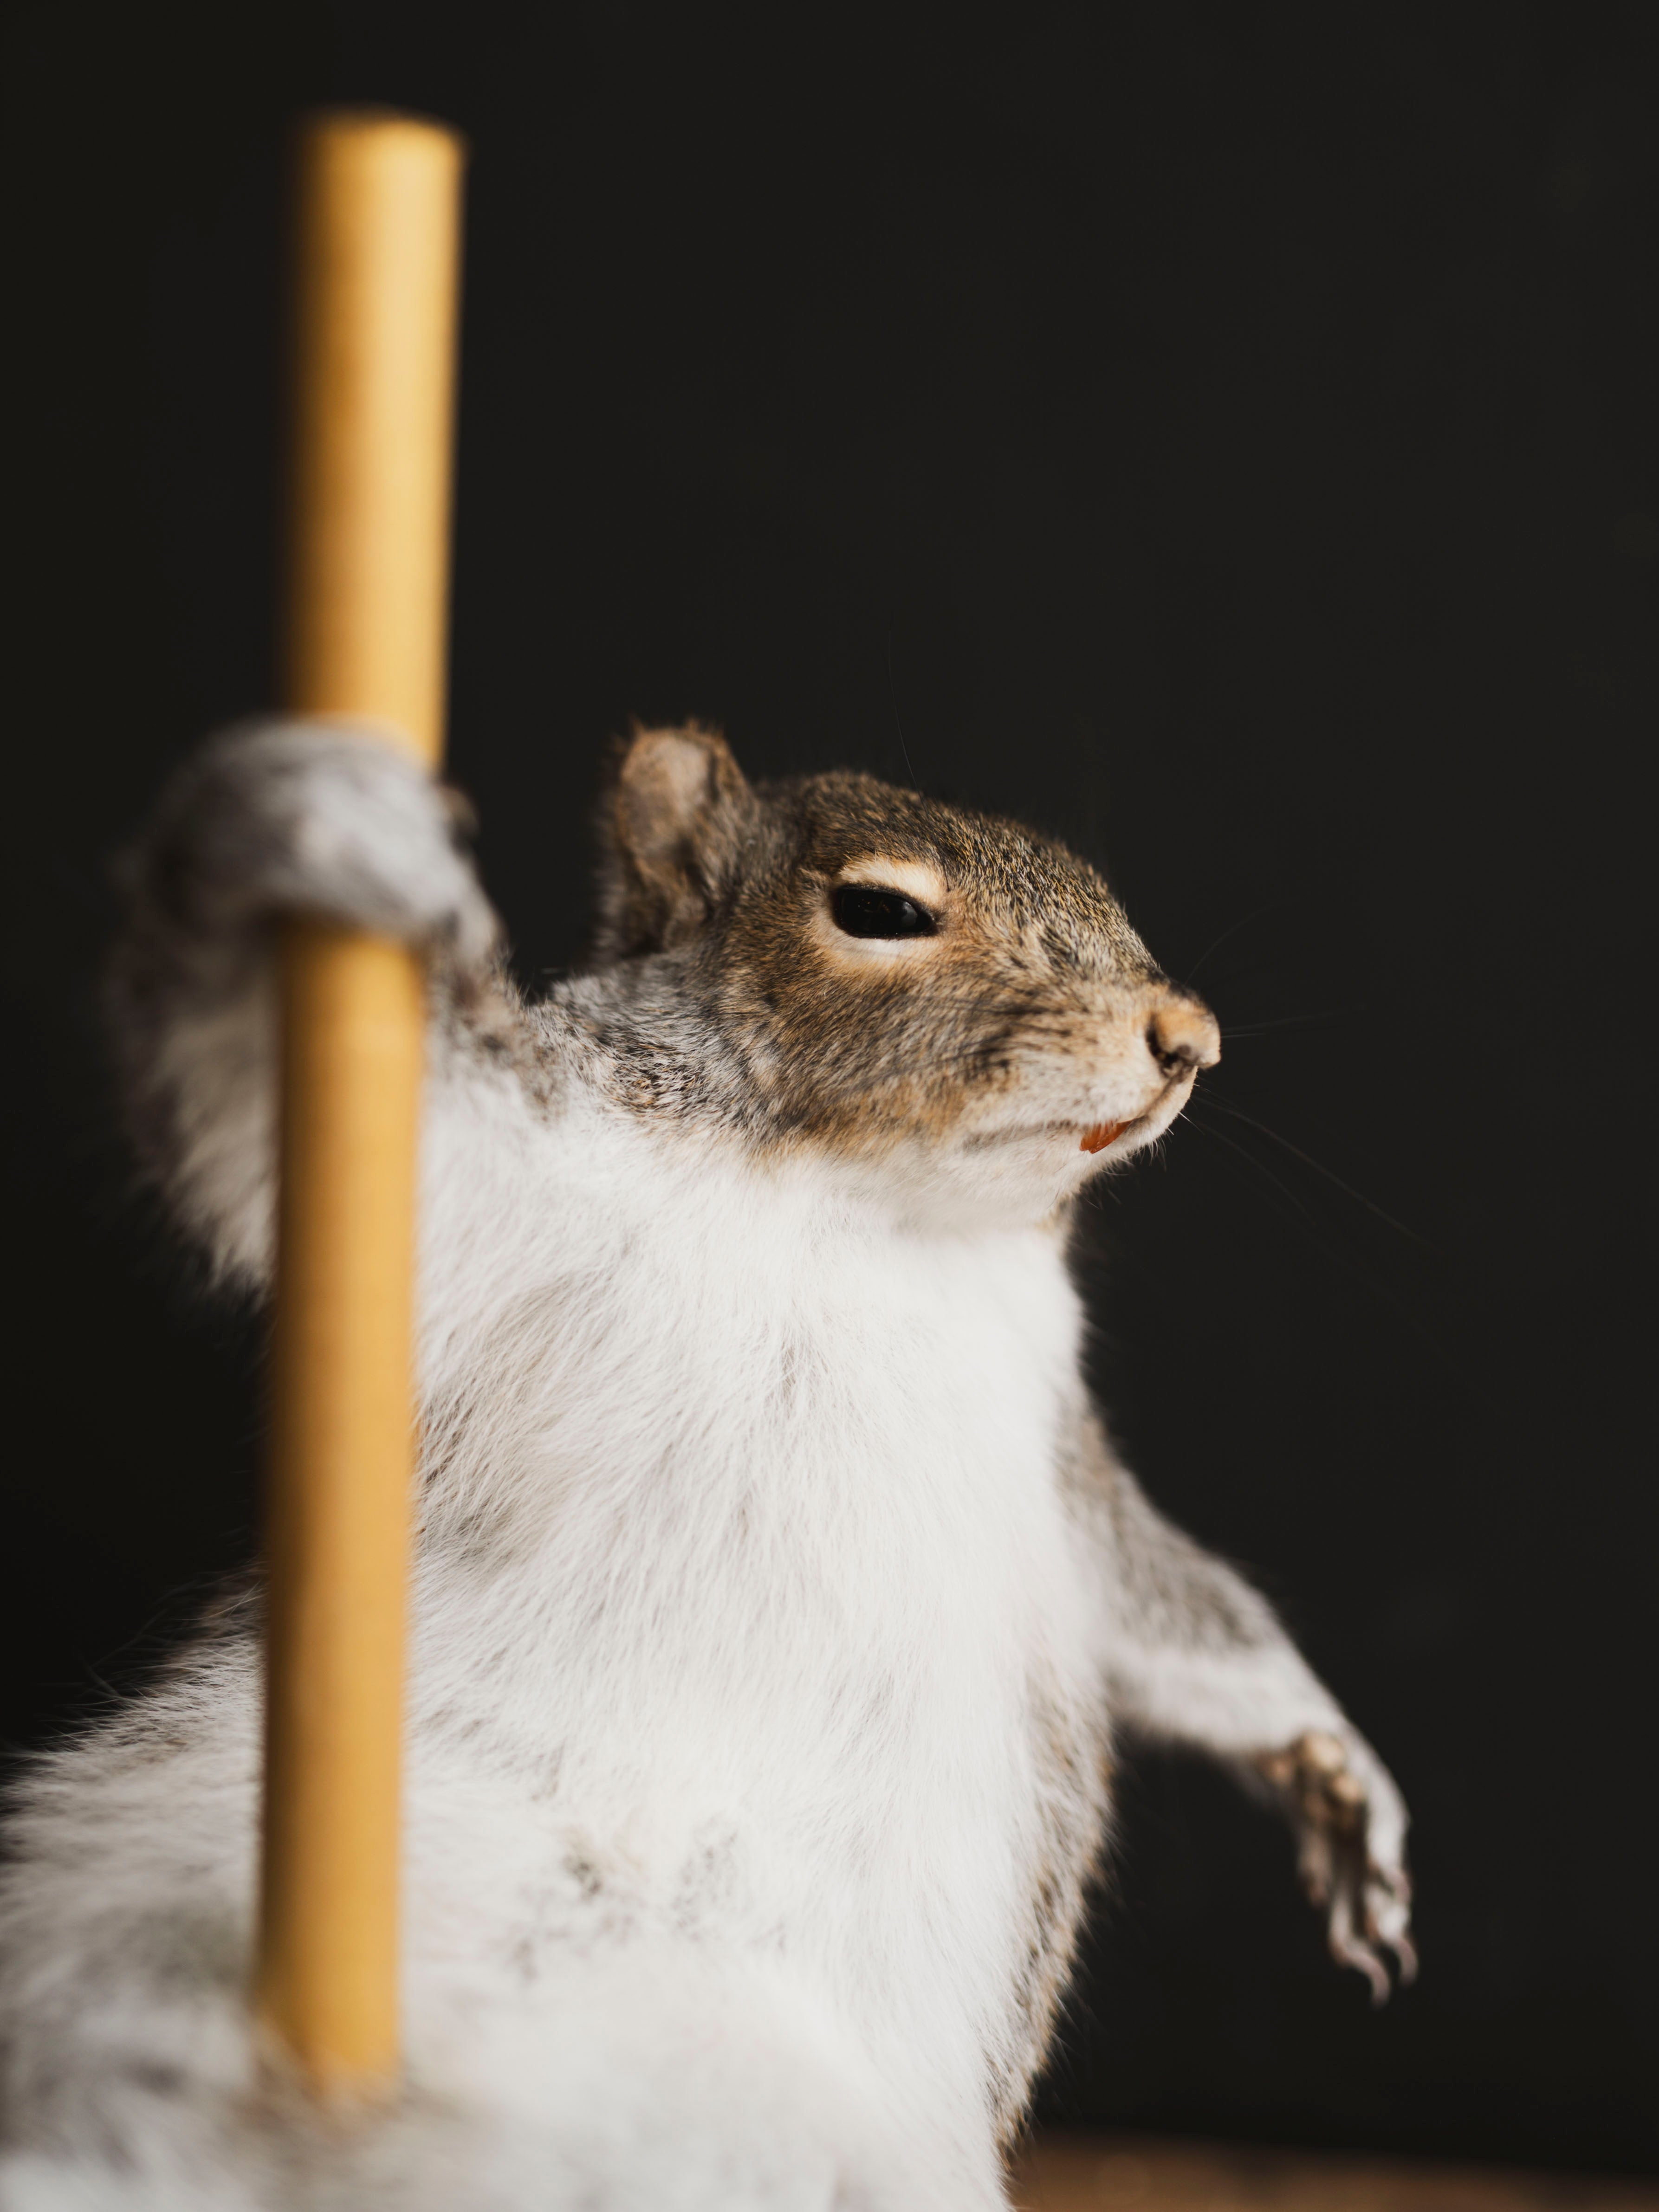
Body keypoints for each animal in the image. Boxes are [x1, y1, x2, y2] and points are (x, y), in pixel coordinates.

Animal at [0, 720, 1413, 2211]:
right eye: (879, 910)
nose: (1187, 1038)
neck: (866, 1211)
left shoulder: (1062, 1463)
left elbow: (1167, 1601)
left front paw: (1332, 1768)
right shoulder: (517, 1162)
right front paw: (309, 830)